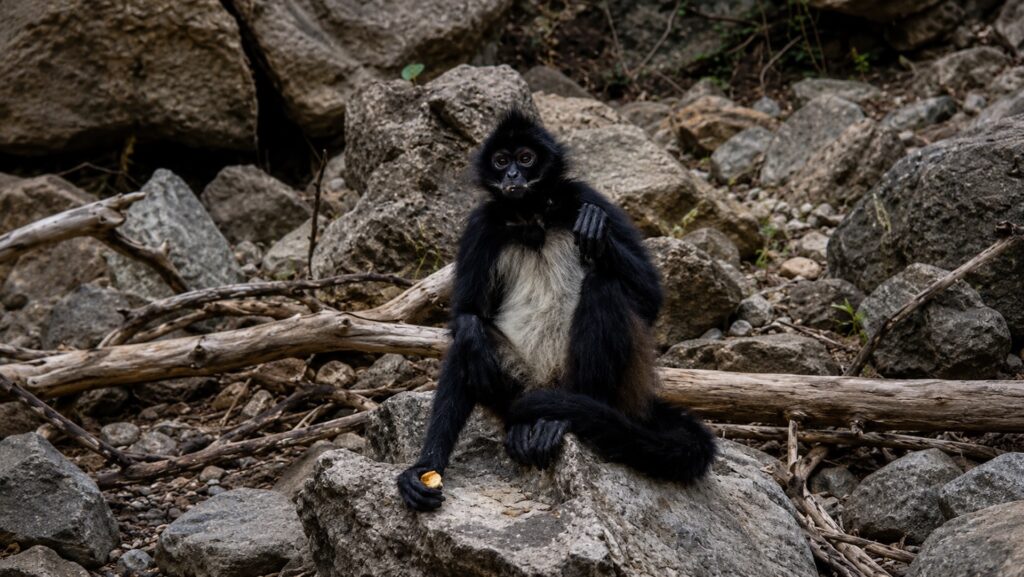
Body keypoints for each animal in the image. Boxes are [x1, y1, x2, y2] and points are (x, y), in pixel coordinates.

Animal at [397, 109, 717, 511]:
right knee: (470, 346)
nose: (512, 176)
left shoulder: (584, 196)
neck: (532, 217)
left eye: (525, 158)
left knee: (604, 287)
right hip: (516, 392)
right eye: (500, 161)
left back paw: (567, 419)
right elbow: (466, 316)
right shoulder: (481, 223)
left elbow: (651, 299)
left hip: (614, 383)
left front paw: (598, 233)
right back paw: (438, 462)